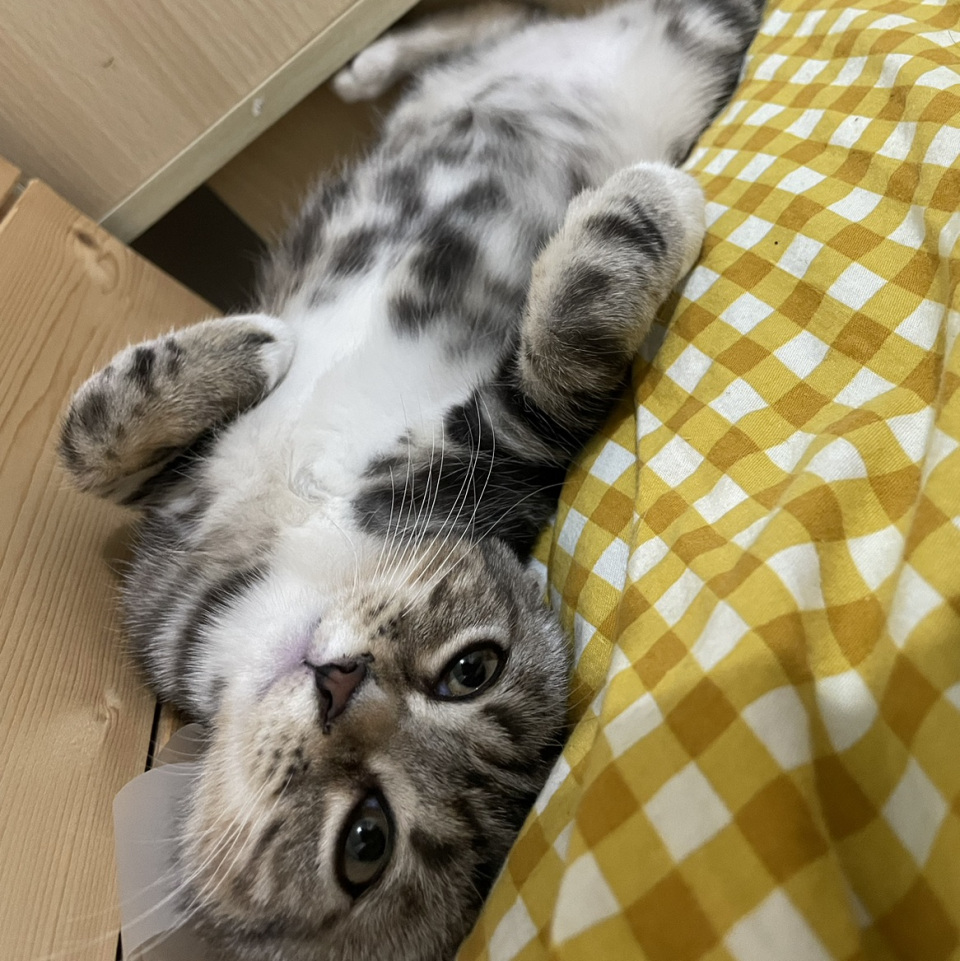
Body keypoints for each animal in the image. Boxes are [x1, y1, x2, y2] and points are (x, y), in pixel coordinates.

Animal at [59, 2, 762, 958]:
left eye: (367, 841)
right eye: (472, 667)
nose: (340, 686)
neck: (294, 564)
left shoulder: (507, 459)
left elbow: (554, 378)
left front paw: (646, 204)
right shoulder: (178, 514)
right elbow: (90, 450)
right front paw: (251, 346)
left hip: (703, 39)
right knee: (497, 26)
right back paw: (372, 64)